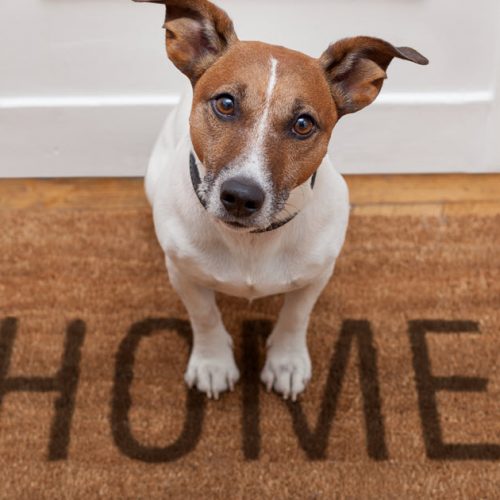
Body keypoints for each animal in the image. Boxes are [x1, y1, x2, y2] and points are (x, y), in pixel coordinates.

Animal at [134, 0, 430, 398]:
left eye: (303, 124)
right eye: (225, 103)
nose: (241, 197)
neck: (251, 243)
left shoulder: (317, 274)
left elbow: (295, 316)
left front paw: (286, 362)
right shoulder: (183, 274)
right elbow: (205, 316)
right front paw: (213, 362)